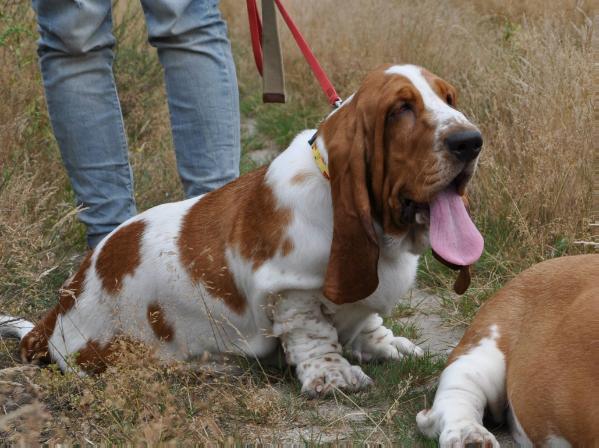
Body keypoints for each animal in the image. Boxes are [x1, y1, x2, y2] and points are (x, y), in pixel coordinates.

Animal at [0, 64, 486, 396]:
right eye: (401, 109)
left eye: (449, 97)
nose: (471, 141)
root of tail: (55, 313)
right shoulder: (290, 289)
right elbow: (313, 334)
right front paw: (334, 376)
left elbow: (366, 318)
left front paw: (388, 345)